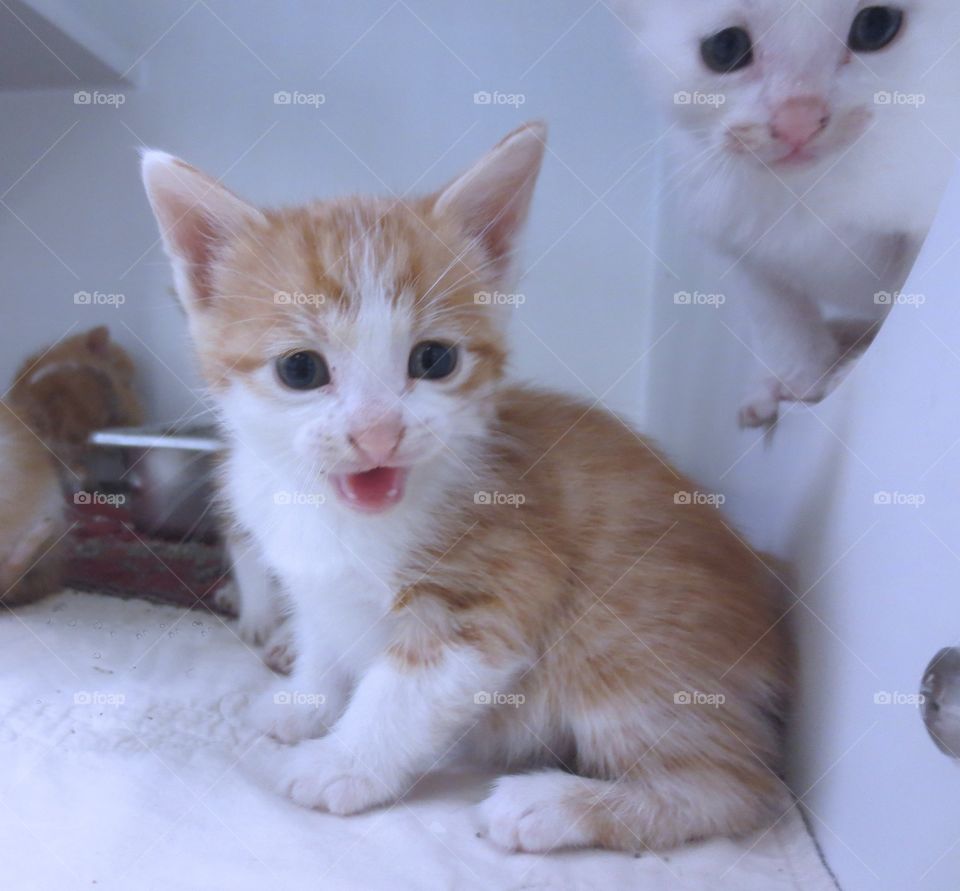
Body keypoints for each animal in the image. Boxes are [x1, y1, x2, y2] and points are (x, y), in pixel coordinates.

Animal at [141, 122, 788, 852]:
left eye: (434, 359)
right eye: (300, 369)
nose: (377, 433)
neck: (334, 514)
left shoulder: (494, 593)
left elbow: (401, 691)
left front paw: (344, 762)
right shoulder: (310, 578)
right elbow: (323, 640)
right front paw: (305, 700)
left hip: (620, 645)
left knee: (732, 786)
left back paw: (547, 804)